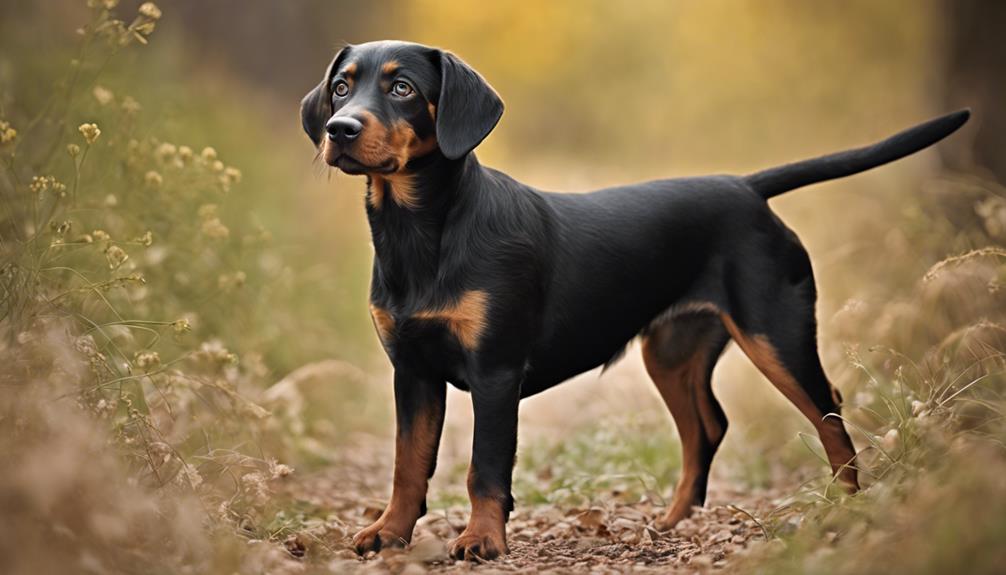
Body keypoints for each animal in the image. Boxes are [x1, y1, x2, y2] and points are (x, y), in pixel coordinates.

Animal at [297, 39, 965, 558]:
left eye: (403, 88)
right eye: (340, 88)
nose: (338, 130)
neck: (420, 232)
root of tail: (747, 188)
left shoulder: (496, 370)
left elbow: (485, 466)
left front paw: (481, 541)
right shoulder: (411, 369)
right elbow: (408, 463)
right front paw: (388, 533)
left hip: (776, 332)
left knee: (828, 413)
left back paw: (847, 508)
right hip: (670, 349)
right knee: (709, 426)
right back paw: (673, 522)